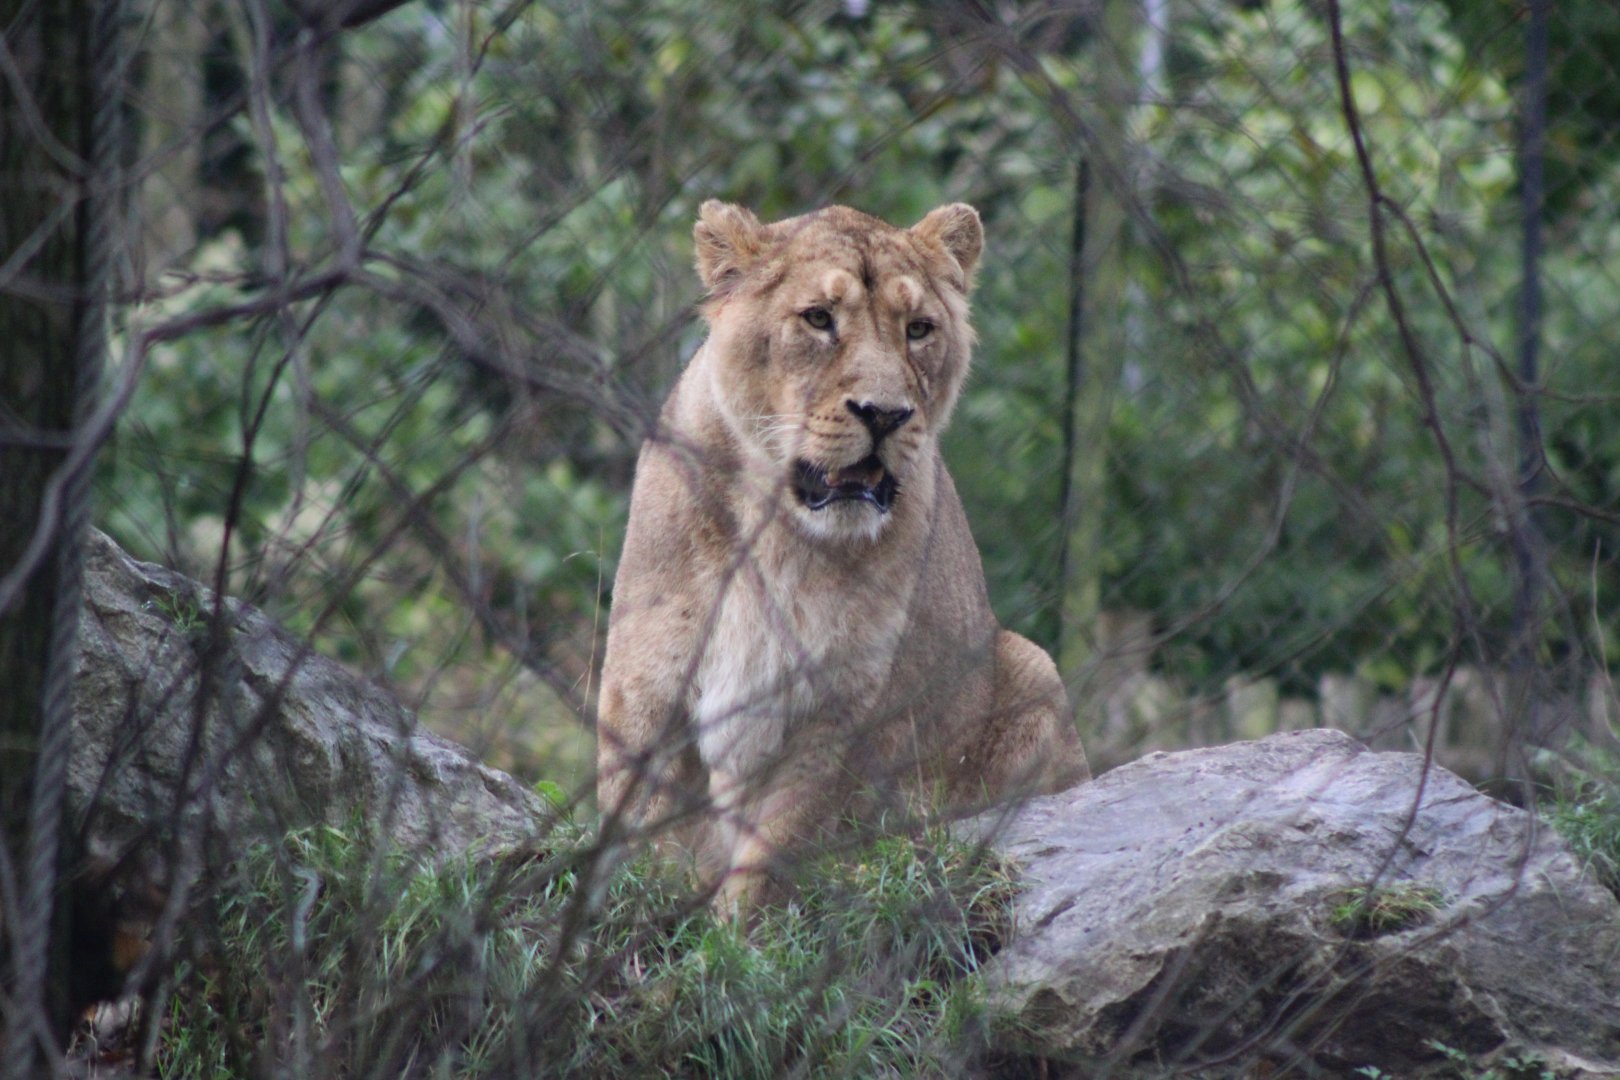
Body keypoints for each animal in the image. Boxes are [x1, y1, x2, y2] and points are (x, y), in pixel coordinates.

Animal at [596, 200, 1089, 912]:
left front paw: (737, 934)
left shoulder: (842, 712)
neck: (775, 530)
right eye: (818, 319)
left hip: (1032, 668)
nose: (883, 414)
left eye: (918, 329)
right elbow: (637, 832)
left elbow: (775, 851)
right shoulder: (647, 684)